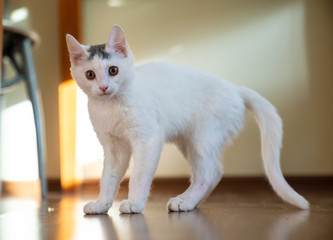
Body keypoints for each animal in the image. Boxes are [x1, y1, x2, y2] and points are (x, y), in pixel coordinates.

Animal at [65, 25, 308, 215]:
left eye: (113, 70)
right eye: (90, 75)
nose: (103, 87)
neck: (111, 107)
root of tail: (234, 88)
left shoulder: (148, 140)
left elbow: (139, 176)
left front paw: (134, 203)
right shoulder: (114, 149)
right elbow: (108, 179)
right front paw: (102, 204)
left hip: (202, 136)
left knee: (207, 174)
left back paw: (185, 201)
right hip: (188, 142)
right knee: (214, 172)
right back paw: (190, 202)